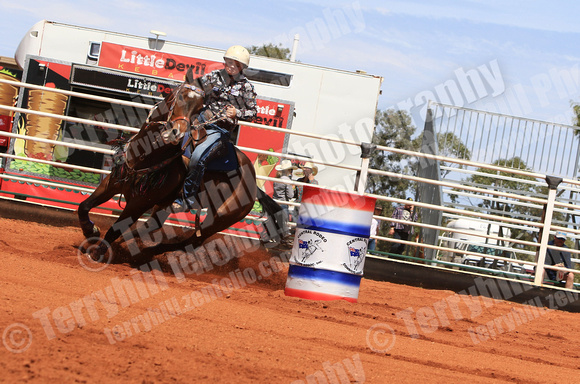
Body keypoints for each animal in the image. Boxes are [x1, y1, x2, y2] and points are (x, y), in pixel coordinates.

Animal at [77, 67, 286, 262]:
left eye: (199, 107)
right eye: (180, 96)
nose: (176, 132)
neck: (145, 154)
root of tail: (253, 185)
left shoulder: (139, 203)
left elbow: (115, 229)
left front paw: (97, 252)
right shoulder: (113, 182)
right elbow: (84, 206)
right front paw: (90, 231)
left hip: (220, 217)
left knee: (191, 242)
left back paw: (148, 252)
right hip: (167, 206)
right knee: (155, 227)